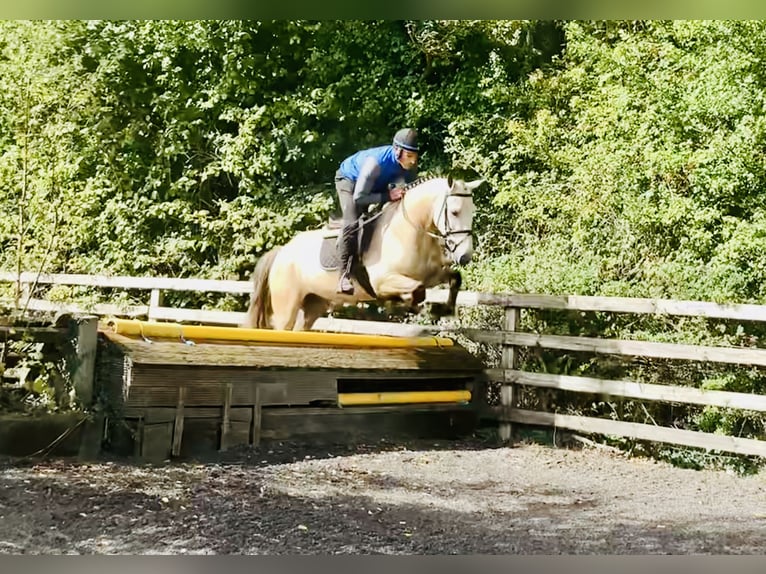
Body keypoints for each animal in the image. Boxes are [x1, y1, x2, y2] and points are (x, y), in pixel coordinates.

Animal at [242, 175, 482, 331]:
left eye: (472, 211)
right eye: (455, 212)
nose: (465, 256)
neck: (411, 230)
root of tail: (282, 252)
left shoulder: (432, 274)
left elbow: (453, 278)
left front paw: (443, 309)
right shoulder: (383, 282)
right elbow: (418, 291)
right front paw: (418, 307)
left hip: (313, 305)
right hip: (286, 308)